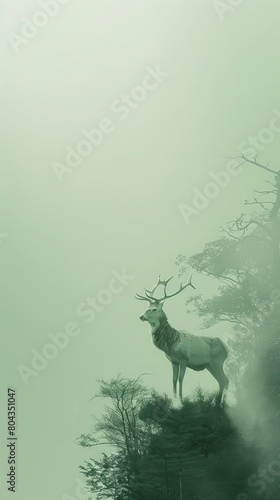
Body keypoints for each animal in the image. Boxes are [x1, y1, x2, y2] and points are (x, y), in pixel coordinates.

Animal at [136, 276, 230, 404]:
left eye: (154, 309)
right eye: (147, 307)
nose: (141, 316)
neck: (171, 344)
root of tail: (226, 348)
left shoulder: (184, 358)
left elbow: (181, 379)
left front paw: (181, 401)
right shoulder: (173, 361)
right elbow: (174, 379)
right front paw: (174, 400)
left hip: (217, 362)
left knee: (225, 381)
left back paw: (222, 404)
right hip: (209, 365)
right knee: (221, 381)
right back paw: (217, 403)